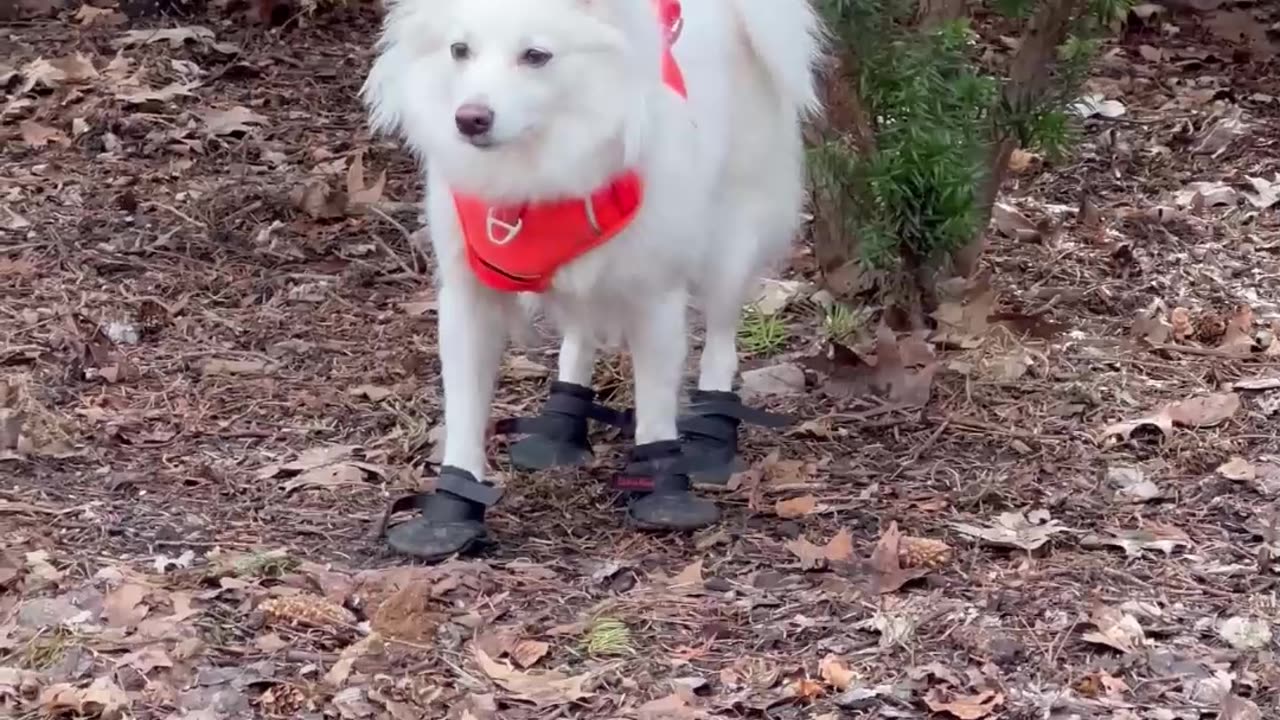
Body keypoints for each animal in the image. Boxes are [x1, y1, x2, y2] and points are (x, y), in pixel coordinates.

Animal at [363, 0, 819, 558]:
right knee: (579, 337)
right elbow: (465, 411)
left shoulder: (655, 295)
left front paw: (664, 488)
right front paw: (449, 511)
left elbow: (656, 402)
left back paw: (713, 436)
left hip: (731, 240)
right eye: (459, 50)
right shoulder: (470, 298)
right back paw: (562, 424)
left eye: (535, 56)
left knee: (721, 340)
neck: (540, 174)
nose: (469, 118)